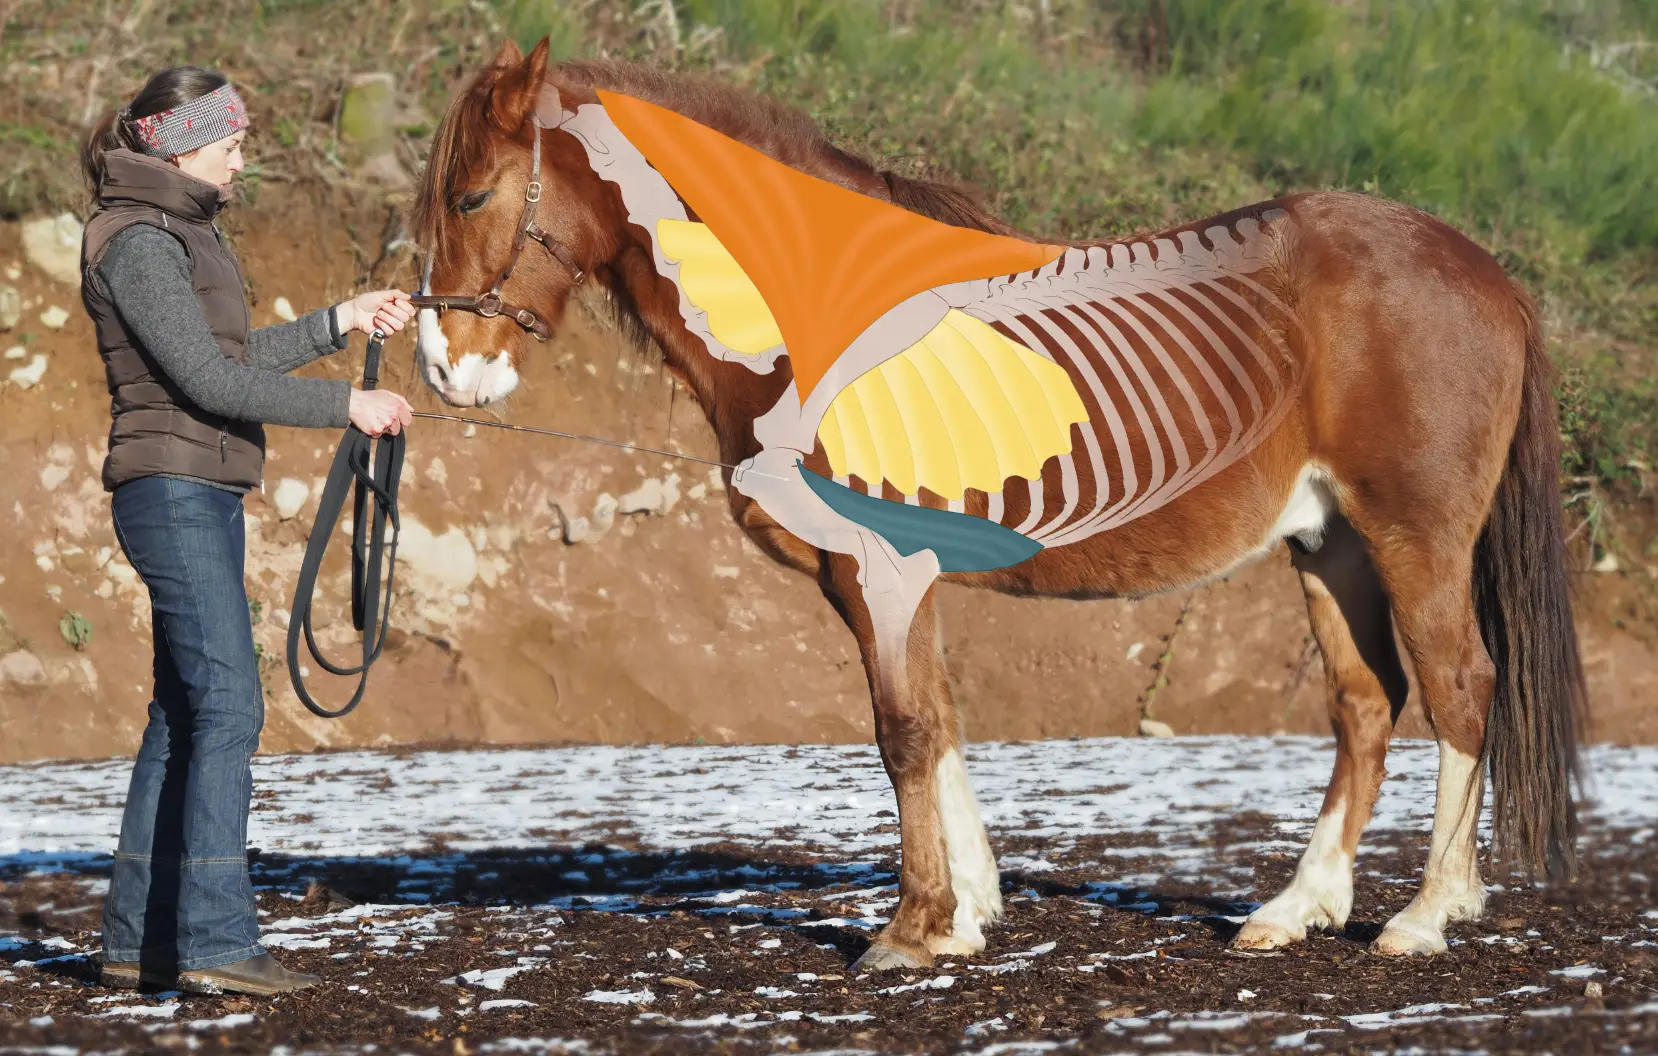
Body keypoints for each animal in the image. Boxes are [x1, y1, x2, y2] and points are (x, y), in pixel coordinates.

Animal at [409, 37, 1586, 971]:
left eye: (470, 198)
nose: (443, 371)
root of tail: (1488, 273)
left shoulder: (880, 571)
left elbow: (903, 730)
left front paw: (908, 930)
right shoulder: (889, 580)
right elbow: (936, 722)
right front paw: (966, 915)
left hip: (1411, 538)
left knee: (1461, 689)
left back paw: (1424, 916)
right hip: (1327, 544)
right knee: (1365, 704)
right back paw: (1294, 909)